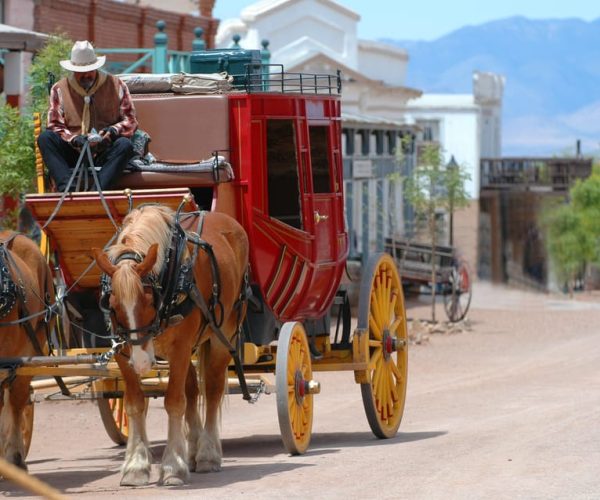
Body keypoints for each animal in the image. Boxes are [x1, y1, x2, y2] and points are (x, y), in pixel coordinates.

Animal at [94, 205, 248, 486]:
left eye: (148, 300)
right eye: (113, 304)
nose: (142, 363)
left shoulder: (180, 348)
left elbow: (174, 402)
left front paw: (173, 467)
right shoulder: (123, 351)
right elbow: (135, 403)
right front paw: (136, 466)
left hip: (224, 334)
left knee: (212, 389)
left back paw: (208, 454)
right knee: (192, 390)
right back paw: (194, 450)